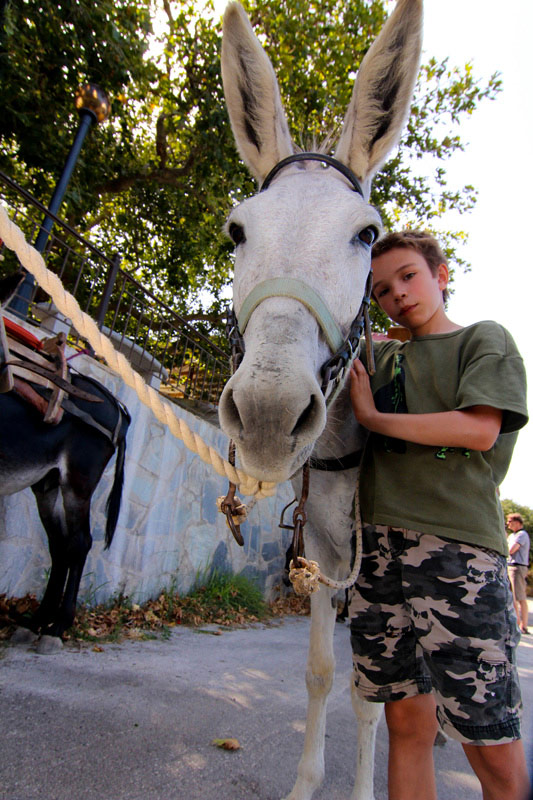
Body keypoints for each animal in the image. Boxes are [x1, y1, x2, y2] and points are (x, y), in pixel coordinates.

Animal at [0, 271, 131, 653]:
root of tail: (117, 408)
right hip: (46, 483)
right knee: (59, 543)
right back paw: (37, 620)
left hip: (78, 481)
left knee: (79, 542)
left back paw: (57, 625)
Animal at [219, 2, 422, 798]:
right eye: (237, 231)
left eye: (366, 234)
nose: (268, 417)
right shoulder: (324, 557)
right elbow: (319, 672)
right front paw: (307, 783)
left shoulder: (375, 572)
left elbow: (371, 693)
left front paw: (364, 787)